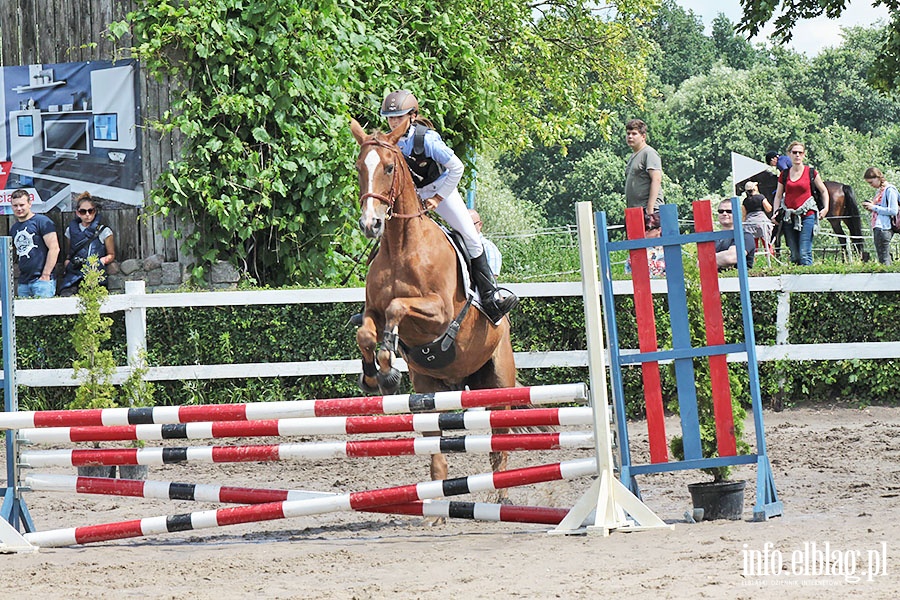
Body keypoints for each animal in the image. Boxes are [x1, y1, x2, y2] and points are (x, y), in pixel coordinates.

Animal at [350, 118, 516, 492]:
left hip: (498, 384)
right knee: (436, 446)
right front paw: (375, 375)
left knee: (499, 448)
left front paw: (388, 362)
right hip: (429, 387)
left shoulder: (439, 313)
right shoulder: (371, 311)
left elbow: (398, 307)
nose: (370, 224)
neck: (402, 246)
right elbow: (366, 333)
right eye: (359, 168)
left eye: (389, 167)